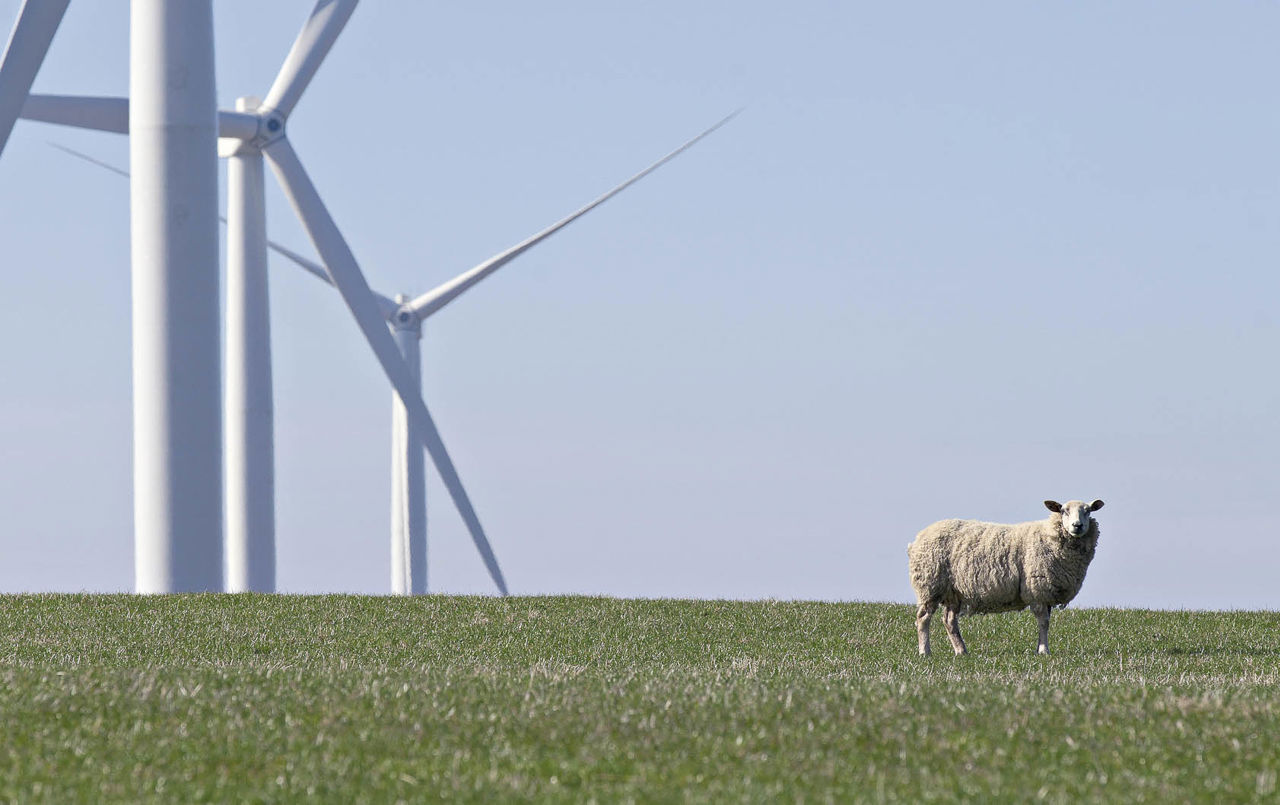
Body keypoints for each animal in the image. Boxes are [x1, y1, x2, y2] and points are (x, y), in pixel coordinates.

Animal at [906, 499, 1105, 655]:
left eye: (1088, 511)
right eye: (1064, 510)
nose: (1077, 526)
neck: (1049, 536)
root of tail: (918, 538)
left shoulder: (1046, 592)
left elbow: (1045, 622)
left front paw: (1040, 648)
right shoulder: (1037, 589)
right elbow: (1044, 622)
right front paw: (1043, 651)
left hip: (953, 592)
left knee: (949, 621)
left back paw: (961, 651)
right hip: (930, 584)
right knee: (923, 618)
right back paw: (925, 651)